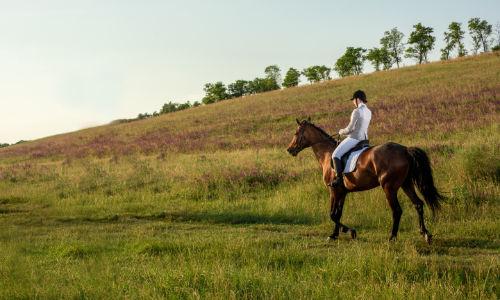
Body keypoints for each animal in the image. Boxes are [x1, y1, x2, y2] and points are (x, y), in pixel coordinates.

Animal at [288, 118, 444, 244]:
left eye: (296, 133)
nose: (289, 150)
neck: (327, 154)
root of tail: (405, 150)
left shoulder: (333, 190)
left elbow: (332, 214)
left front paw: (350, 232)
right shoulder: (342, 192)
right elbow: (338, 213)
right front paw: (334, 235)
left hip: (389, 187)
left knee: (397, 210)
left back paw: (392, 237)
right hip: (406, 184)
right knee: (418, 204)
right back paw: (425, 234)